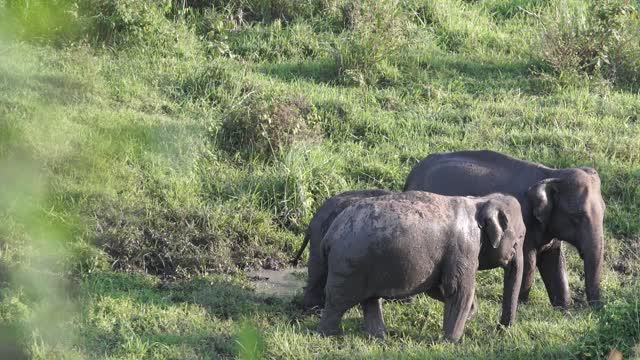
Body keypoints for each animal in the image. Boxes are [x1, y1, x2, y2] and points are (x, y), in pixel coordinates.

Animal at [318, 190, 524, 342]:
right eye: (521, 237)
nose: (500, 330)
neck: (480, 201)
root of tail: (329, 235)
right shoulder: (463, 248)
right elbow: (458, 290)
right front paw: (451, 342)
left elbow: (438, 288)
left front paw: (469, 314)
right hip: (348, 266)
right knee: (337, 300)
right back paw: (330, 335)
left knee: (370, 300)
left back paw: (378, 338)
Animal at [404, 150, 604, 308]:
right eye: (575, 216)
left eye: (604, 211)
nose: (595, 309)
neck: (552, 173)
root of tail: (411, 175)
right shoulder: (525, 224)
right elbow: (529, 263)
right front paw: (522, 304)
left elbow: (554, 262)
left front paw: (563, 308)